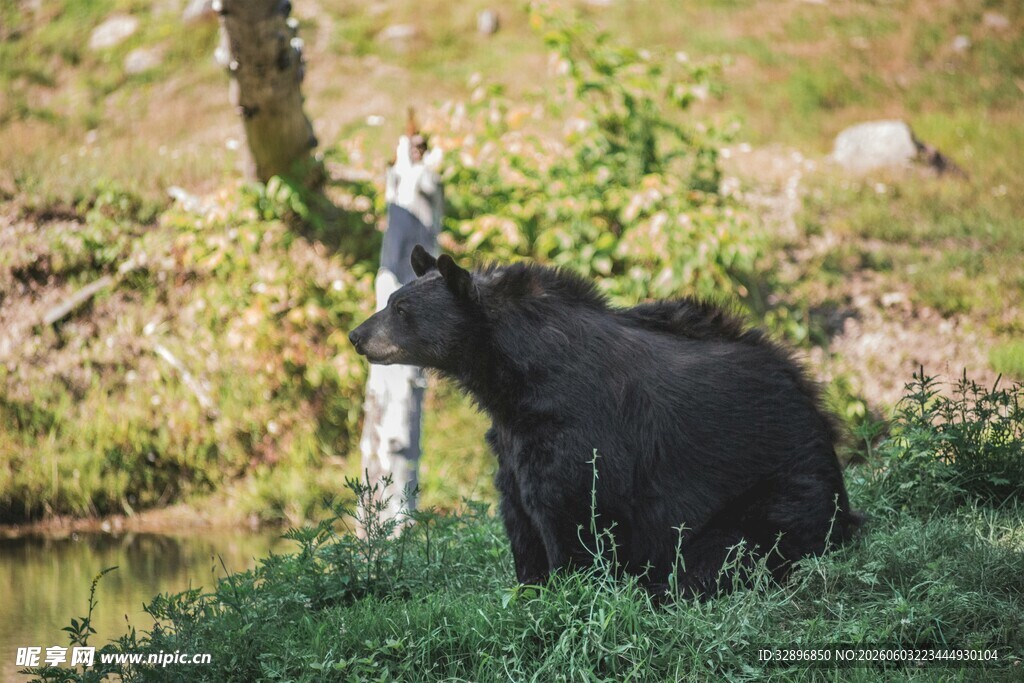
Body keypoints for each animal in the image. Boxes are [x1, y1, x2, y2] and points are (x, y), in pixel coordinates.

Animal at [349, 246, 861, 598]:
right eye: (392, 299)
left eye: (401, 310)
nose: (356, 335)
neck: (512, 376)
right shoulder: (514, 438)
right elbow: (519, 514)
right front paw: (529, 588)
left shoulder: (577, 428)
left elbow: (571, 511)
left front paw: (570, 588)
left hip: (776, 490)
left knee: (727, 552)